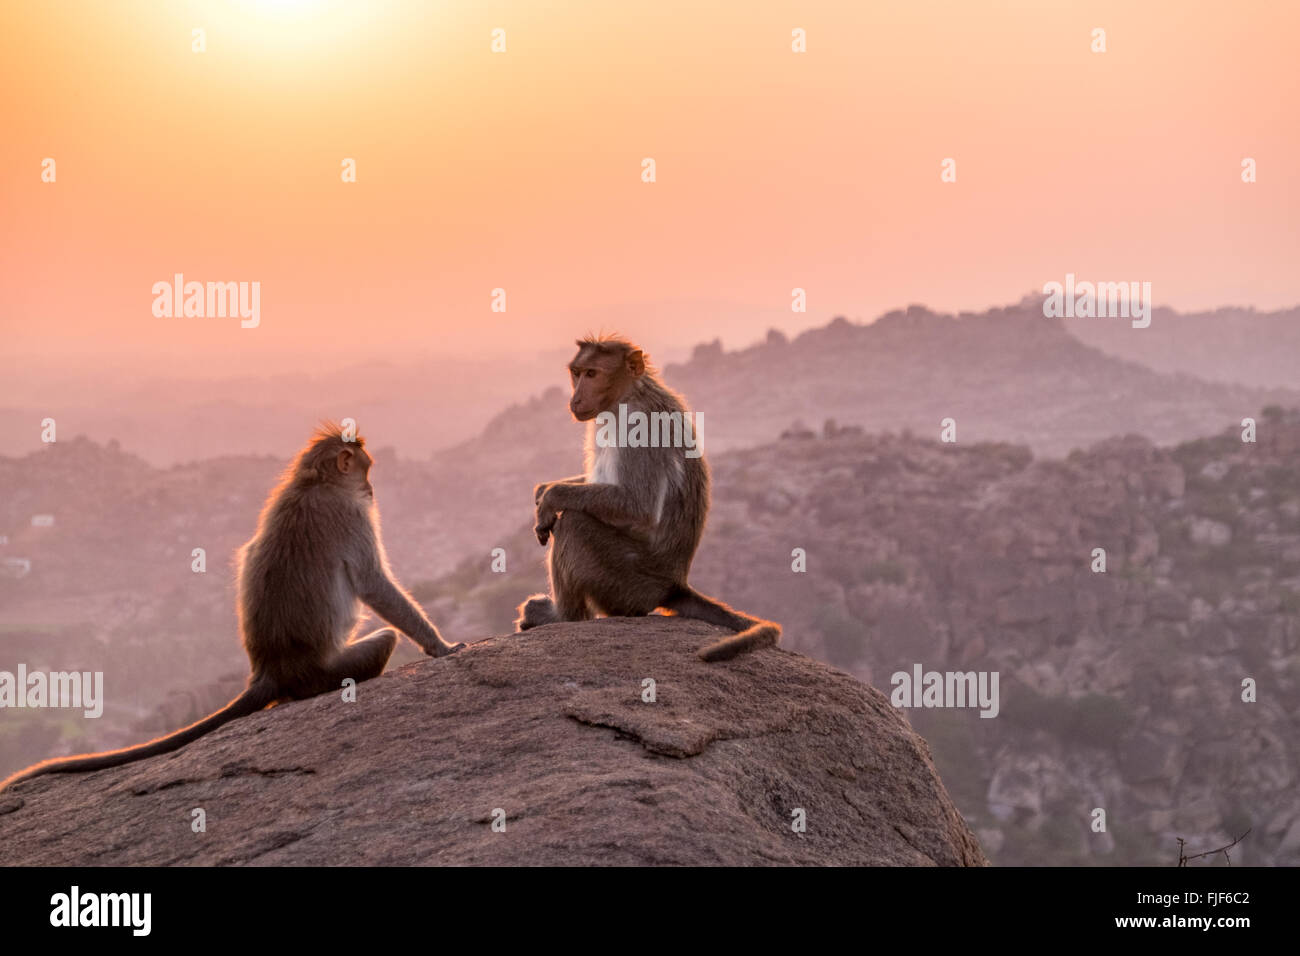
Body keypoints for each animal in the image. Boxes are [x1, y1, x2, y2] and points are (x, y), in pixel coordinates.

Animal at [1, 426, 462, 790]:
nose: (371, 491)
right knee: (383, 640)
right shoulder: (351, 515)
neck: (314, 482)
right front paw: (441, 646)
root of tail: (271, 670)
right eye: (366, 471)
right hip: (327, 671)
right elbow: (372, 582)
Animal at [514, 332, 780, 660]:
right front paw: (543, 492)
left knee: (575, 525)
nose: (575, 399)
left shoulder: (637, 426)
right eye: (576, 373)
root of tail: (674, 585)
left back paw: (563, 616)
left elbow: (636, 506)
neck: (626, 396)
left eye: (592, 374)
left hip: (628, 584)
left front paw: (551, 497)